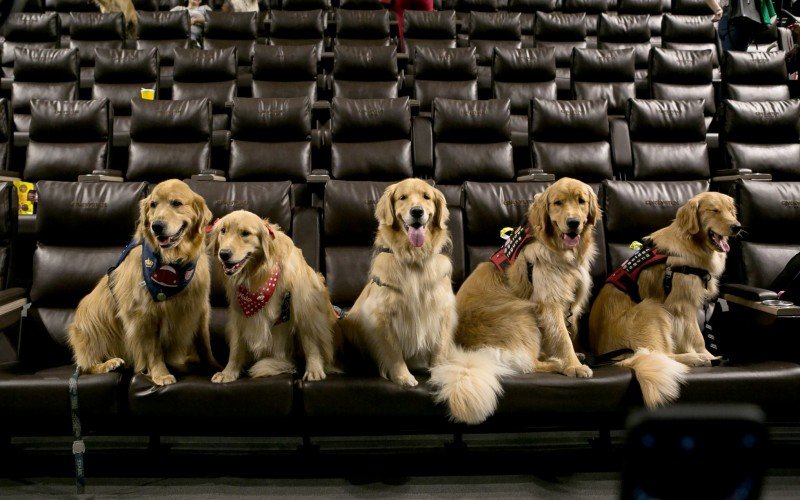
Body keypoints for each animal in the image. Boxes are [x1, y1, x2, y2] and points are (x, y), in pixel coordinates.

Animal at [67, 180, 216, 386]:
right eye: (153, 205)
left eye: (176, 203)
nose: (157, 226)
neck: (173, 261)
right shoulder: (144, 314)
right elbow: (154, 350)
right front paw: (161, 374)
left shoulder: (199, 307)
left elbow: (204, 343)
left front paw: (215, 368)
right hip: (91, 325)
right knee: (86, 365)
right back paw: (109, 363)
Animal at [206, 209, 338, 380]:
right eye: (223, 230)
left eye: (245, 233)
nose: (224, 254)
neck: (259, 276)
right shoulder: (239, 314)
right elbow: (236, 346)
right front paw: (228, 372)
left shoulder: (304, 306)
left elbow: (310, 342)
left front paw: (314, 369)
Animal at [340, 178, 456, 388]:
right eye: (402, 197)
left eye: (426, 197)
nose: (417, 211)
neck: (414, 259)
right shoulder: (382, 314)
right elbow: (393, 351)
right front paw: (403, 376)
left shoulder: (442, 310)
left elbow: (440, 347)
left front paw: (439, 373)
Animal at [432, 178, 600, 424]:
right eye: (558, 203)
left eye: (581, 201)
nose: (573, 223)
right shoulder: (549, 301)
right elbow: (562, 337)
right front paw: (572, 365)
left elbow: (561, 335)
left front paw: (571, 357)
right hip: (522, 314)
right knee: (529, 364)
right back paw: (557, 363)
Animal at [584, 189, 740, 408]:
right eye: (714, 210)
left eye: (731, 211)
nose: (737, 226)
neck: (692, 243)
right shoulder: (682, 306)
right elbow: (697, 337)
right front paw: (708, 355)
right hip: (652, 308)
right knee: (661, 354)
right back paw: (696, 359)